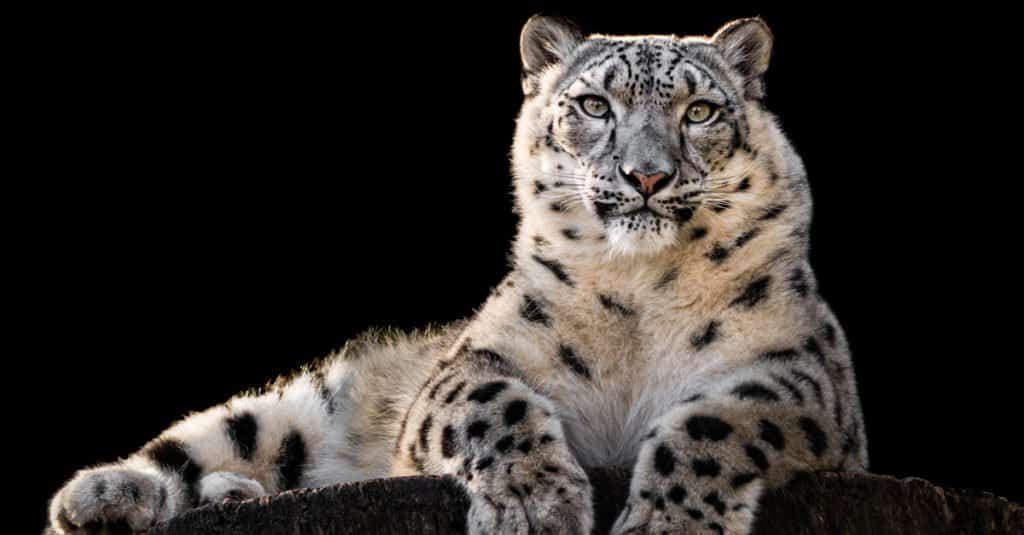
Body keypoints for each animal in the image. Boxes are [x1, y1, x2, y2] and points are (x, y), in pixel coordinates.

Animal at [48, 16, 864, 532]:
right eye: (594, 104)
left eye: (699, 111)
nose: (647, 175)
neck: (640, 290)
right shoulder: (465, 365)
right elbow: (492, 404)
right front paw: (537, 505)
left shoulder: (798, 376)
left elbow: (715, 422)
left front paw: (670, 521)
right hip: (303, 407)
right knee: (215, 437)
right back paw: (104, 494)